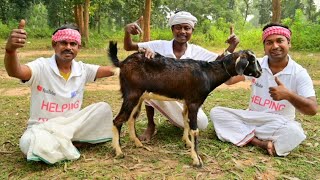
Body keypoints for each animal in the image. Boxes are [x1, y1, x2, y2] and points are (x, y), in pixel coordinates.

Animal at [108, 41, 262, 167]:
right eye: (252, 60)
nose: (259, 73)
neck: (208, 73)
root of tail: (122, 63)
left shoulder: (188, 102)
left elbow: (185, 120)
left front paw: (187, 142)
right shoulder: (194, 102)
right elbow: (195, 129)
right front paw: (197, 160)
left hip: (138, 97)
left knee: (131, 118)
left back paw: (138, 143)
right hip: (132, 94)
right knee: (117, 120)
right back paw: (119, 152)